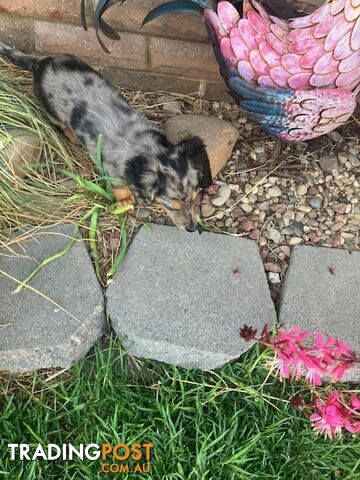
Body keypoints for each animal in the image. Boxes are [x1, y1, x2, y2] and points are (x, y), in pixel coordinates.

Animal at [0, 42, 211, 232]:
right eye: (171, 205)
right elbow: (118, 185)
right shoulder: (110, 167)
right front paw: (125, 200)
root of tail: (40, 62)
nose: (192, 229)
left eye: (195, 198)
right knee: (61, 124)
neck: (145, 147)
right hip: (51, 109)